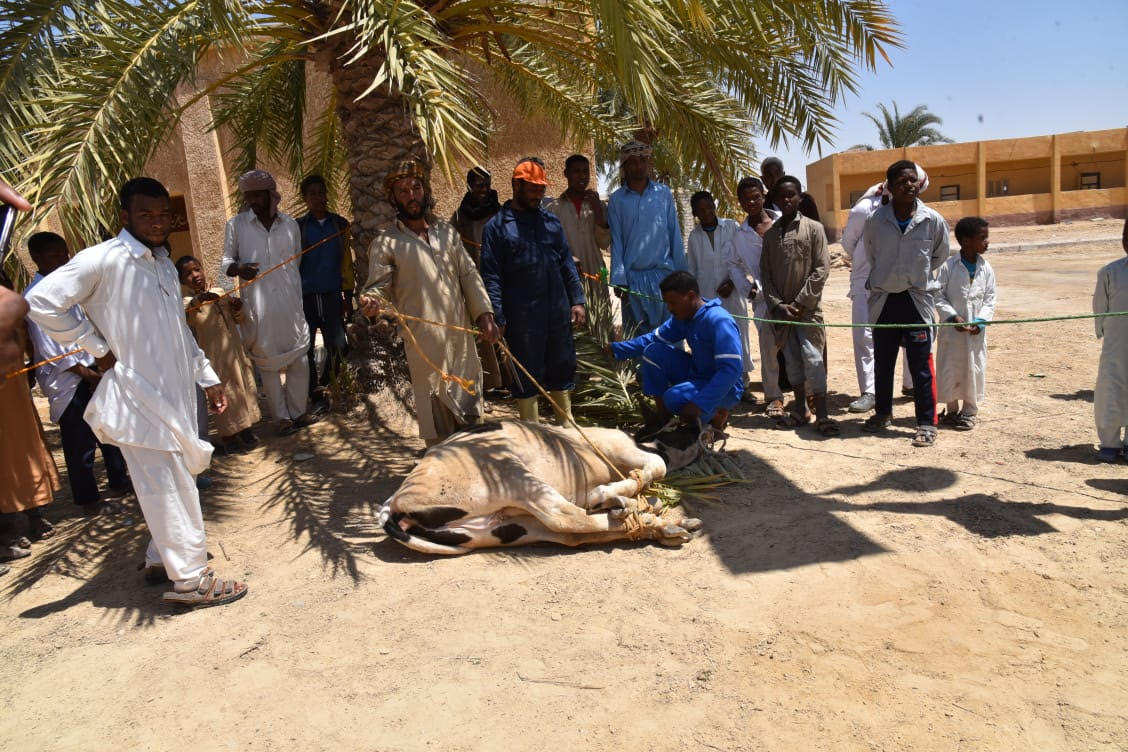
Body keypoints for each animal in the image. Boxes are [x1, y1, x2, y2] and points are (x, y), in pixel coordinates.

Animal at [379, 421, 699, 556]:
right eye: (675, 425)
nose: (698, 424)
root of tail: (394, 503)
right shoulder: (615, 447)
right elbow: (657, 464)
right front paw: (606, 493)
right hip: (508, 472)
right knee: (566, 517)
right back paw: (633, 508)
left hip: (507, 528)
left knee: (572, 533)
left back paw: (656, 524)